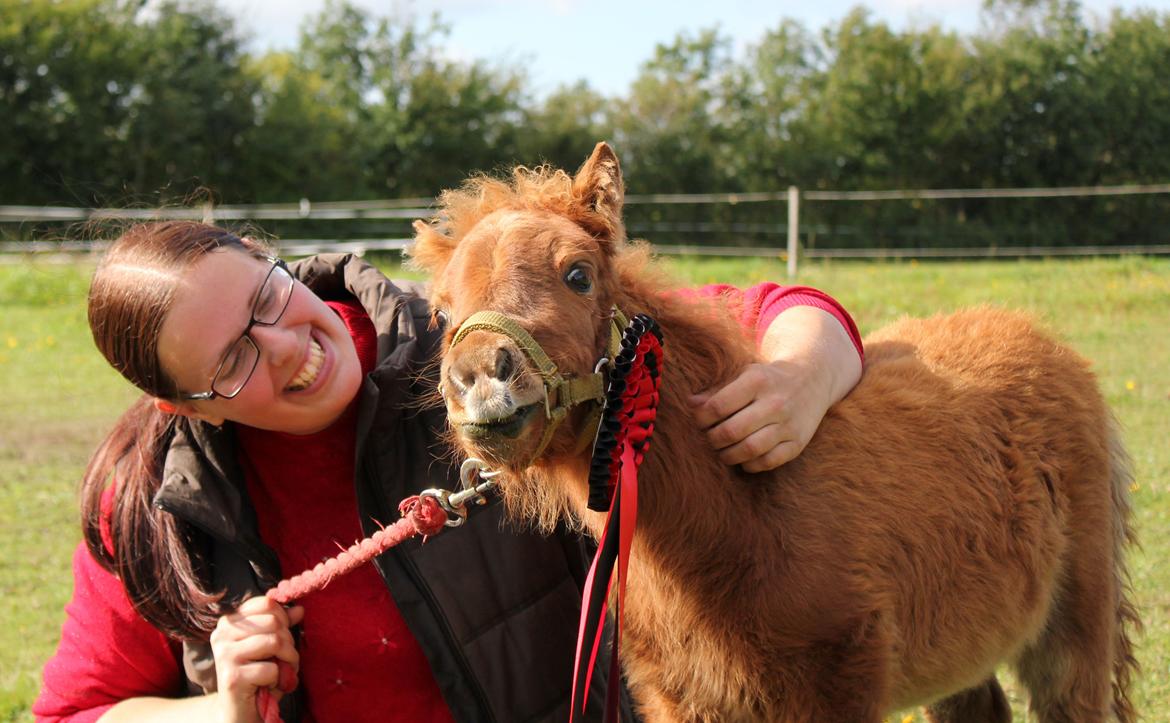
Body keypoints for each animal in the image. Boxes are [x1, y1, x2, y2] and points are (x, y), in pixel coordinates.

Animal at [408, 142, 1140, 722]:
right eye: (441, 311)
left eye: (578, 274)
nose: (481, 378)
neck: (744, 519)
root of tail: (1034, 333)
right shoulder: (679, 696)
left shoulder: (839, 682)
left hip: (1076, 626)